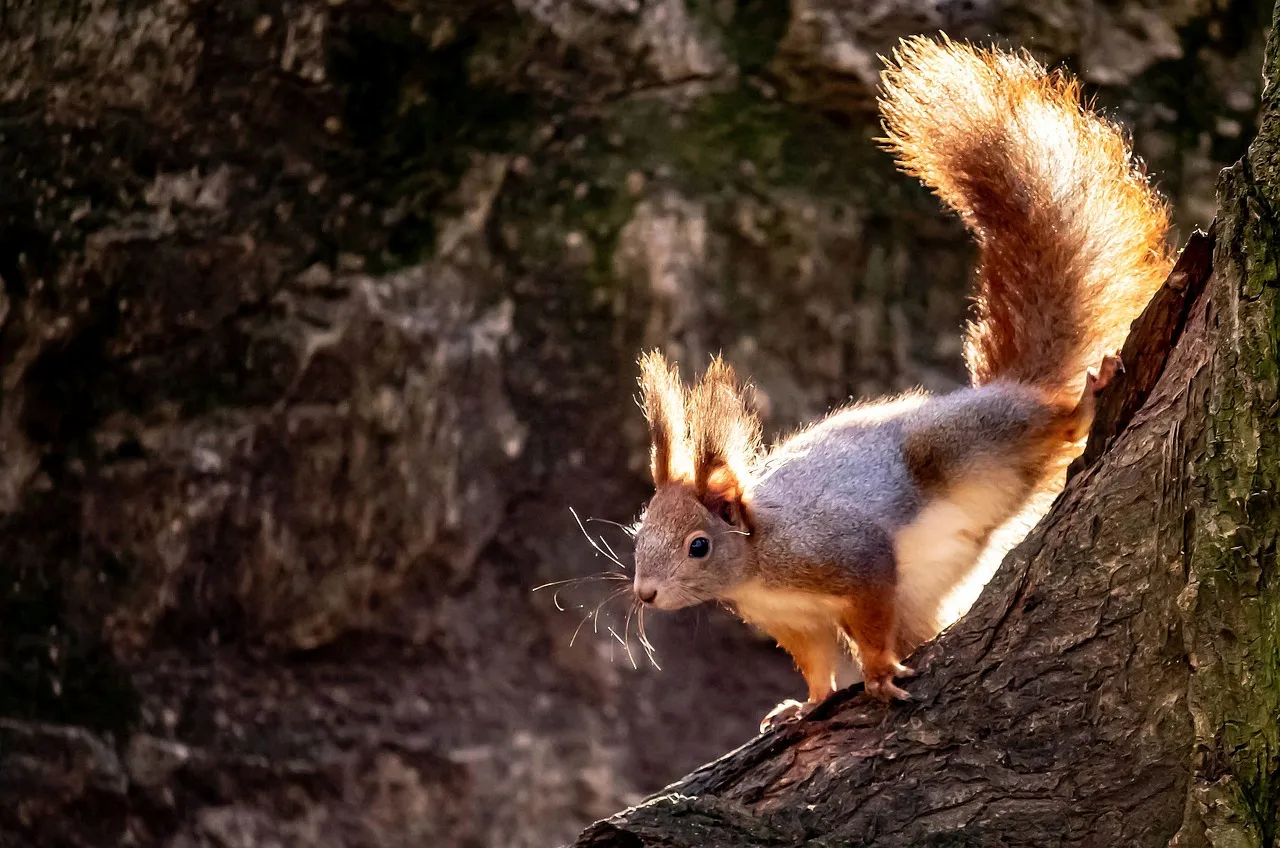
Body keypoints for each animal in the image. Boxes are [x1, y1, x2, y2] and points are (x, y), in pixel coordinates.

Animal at [627, 37, 1175, 731]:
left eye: (699, 546)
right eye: (639, 534)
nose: (644, 593)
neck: (756, 563)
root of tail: (1008, 387)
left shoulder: (849, 558)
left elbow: (869, 619)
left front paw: (880, 673)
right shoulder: (793, 620)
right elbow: (816, 663)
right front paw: (804, 704)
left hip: (968, 437)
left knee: (1047, 421)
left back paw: (1083, 398)